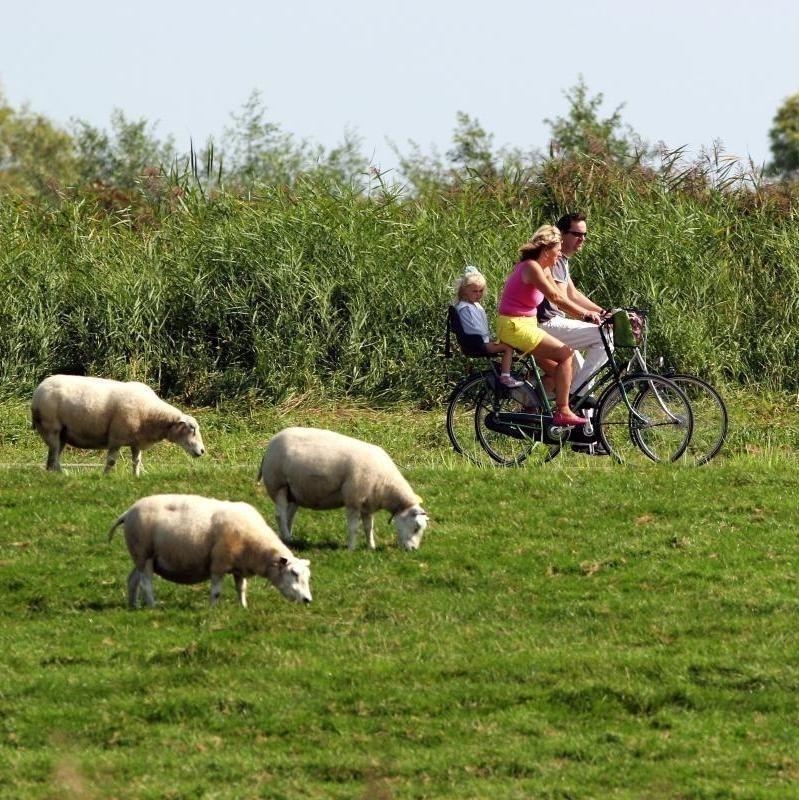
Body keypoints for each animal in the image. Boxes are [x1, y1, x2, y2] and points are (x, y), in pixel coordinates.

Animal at [30, 376, 206, 476]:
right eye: (192, 428)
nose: (203, 451)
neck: (152, 414)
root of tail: (39, 389)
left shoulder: (137, 442)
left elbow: (136, 461)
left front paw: (136, 476)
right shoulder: (116, 438)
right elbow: (111, 461)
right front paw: (105, 476)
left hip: (62, 433)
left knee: (51, 459)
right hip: (52, 427)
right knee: (53, 457)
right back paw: (65, 474)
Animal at [108, 490, 314, 608]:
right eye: (294, 574)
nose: (307, 600)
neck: (256, 547)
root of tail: (128, 511)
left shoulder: (239, 567)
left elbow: (241, 589)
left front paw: (243, 608)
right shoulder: (218, 564)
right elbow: (216, 592)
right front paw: (212, 610)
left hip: (142, 556)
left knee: (133, 579)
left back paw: (133, 606)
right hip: (144, 552)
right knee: (146, 583)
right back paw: (152, 606)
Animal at [260, 424, 428, 552]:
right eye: (416, 528)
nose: (413, 550)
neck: (387, 485)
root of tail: (271, 442)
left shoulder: (368, 504)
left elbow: (369, 527)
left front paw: (371, 547)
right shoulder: (353, 499)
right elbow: (353, 527)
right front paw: (351, 549)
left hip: (294, 491)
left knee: (289, 515)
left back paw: (287, 539)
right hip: (278, 484)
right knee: (280, 515)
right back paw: (286, 536)